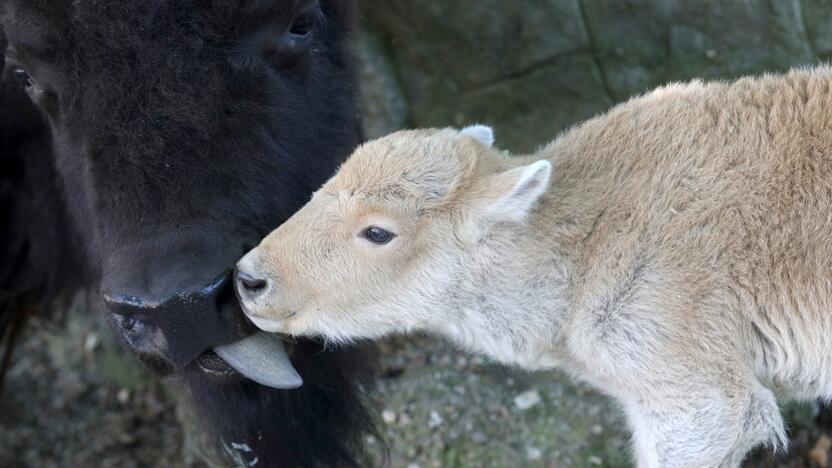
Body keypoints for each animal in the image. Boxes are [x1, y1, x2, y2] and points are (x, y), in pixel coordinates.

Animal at [234, 67, 832, 466]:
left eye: (378, 232)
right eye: (325, 183)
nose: (250, 278)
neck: (588, 239)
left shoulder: (676, 350)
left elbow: (714, 414)